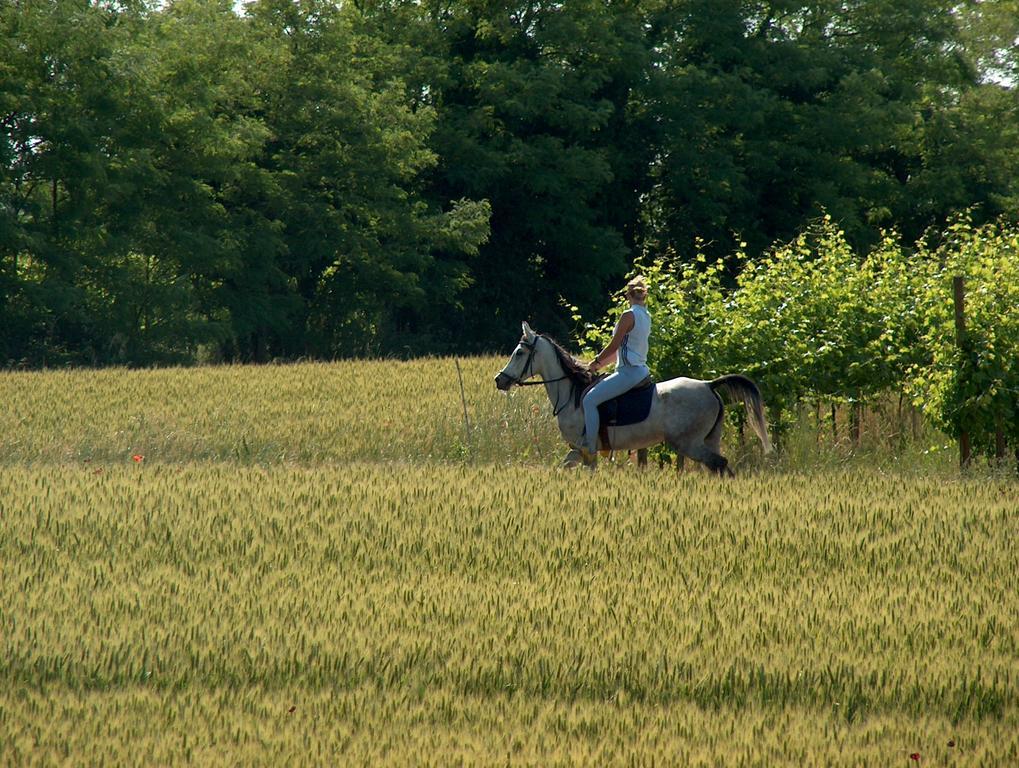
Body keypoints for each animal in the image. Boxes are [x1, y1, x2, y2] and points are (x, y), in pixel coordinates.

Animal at [495, 317, 770, 472]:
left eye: (519, 352)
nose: (500, 380)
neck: (571, 396)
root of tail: (708, 384)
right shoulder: (578, 451)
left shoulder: (584, 449)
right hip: (709, 439)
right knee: (718, 467)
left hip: (689, 443)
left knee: (719, 465)